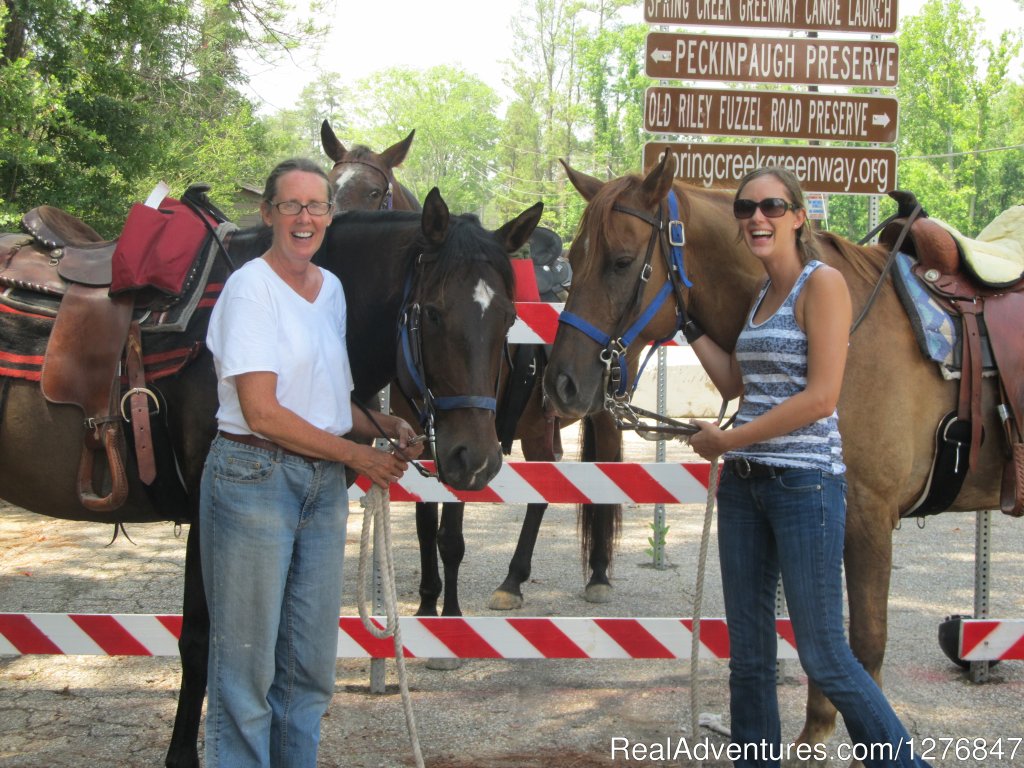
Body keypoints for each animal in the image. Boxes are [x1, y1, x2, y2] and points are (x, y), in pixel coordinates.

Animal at [0, 188, 544, 768]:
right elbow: (203, 641)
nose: (476, 459)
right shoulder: (210, 513)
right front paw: (183, 756)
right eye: (435, 314)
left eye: (509, 317)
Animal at [544, 159, 1007, 753]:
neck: (852, 332)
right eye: (572, 260)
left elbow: (863, 645)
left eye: (622, 261)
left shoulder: (868, 516)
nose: (561, 383)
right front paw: (814, 738)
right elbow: (818, 642)